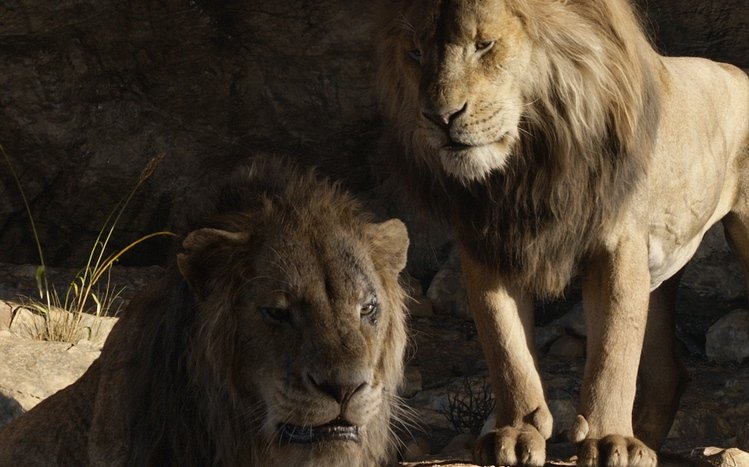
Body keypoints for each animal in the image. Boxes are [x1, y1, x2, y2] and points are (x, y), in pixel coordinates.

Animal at [375, 0, 749, 465]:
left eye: (484, 44)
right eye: (416, 53)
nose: (440, 117)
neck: (528, 166)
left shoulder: (619, 245)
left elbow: (612, 350)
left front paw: (610, 440)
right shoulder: (486, 244)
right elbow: (506, 348)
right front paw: (515, 433)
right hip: (662, 269)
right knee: (669, 373)